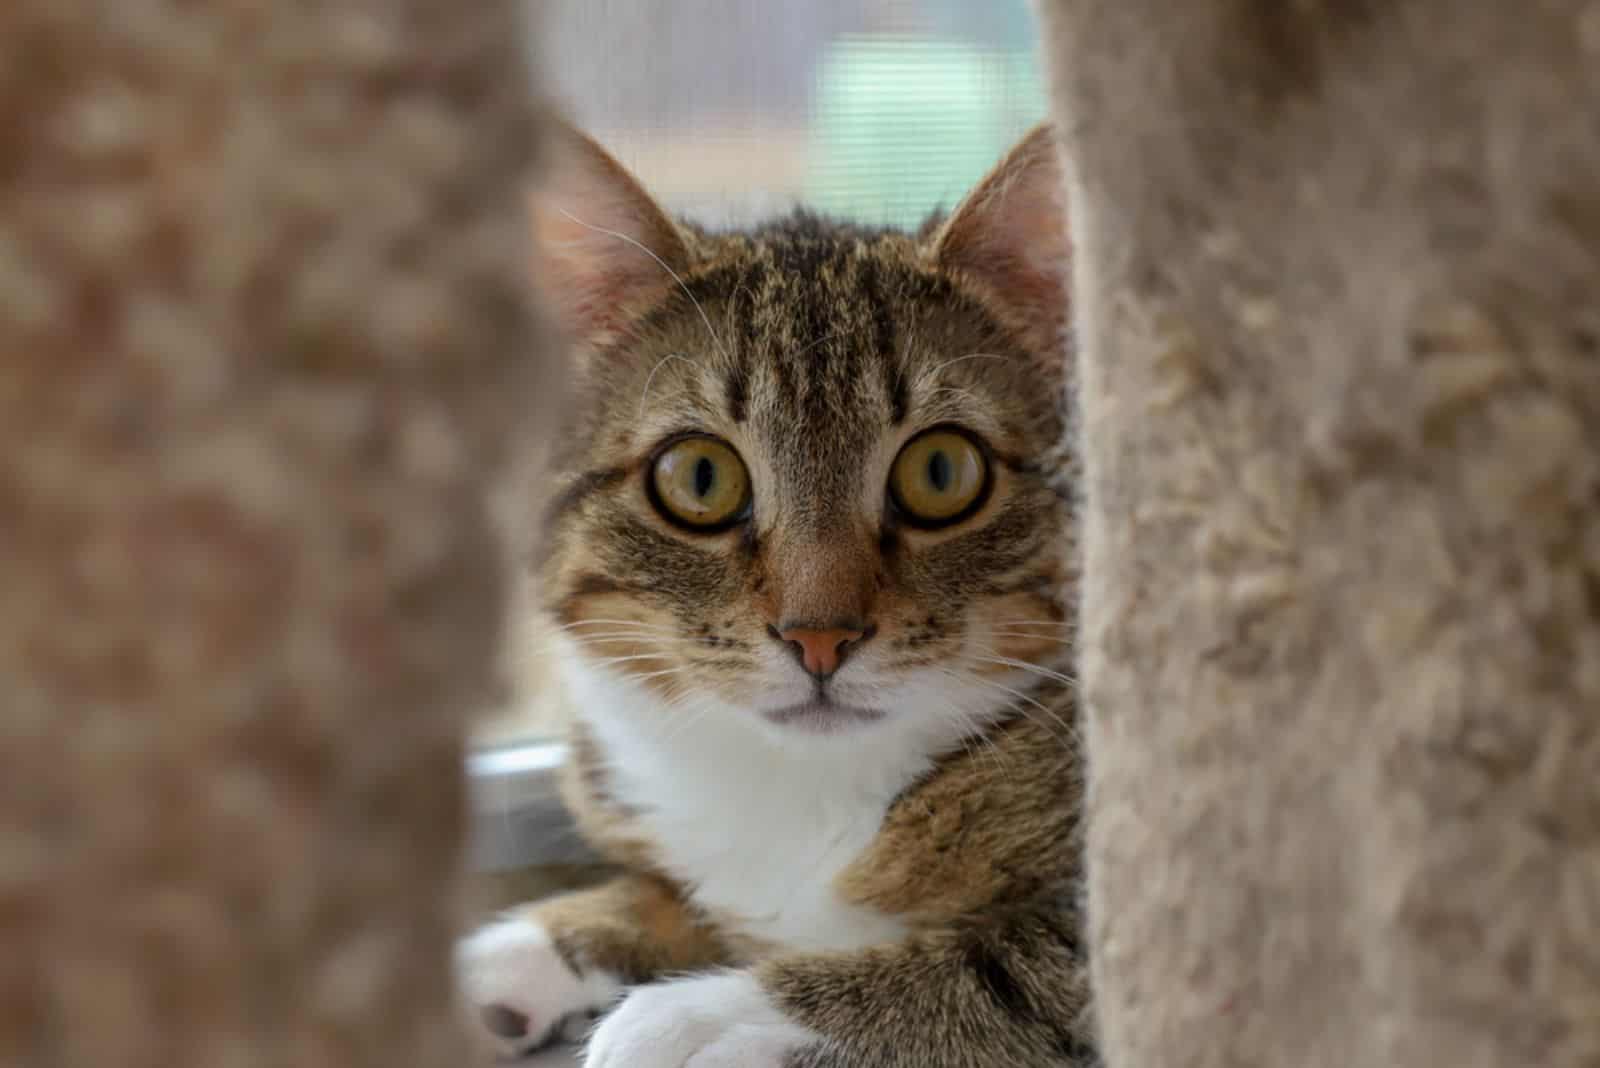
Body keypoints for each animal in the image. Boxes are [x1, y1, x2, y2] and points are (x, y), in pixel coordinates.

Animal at [457, 120, 1094, 1061]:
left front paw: (702, 1017)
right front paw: (536, 945)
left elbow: (1014, 965)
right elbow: (679, 893)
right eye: (699, 476)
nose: (819, 636)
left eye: (942, 471)